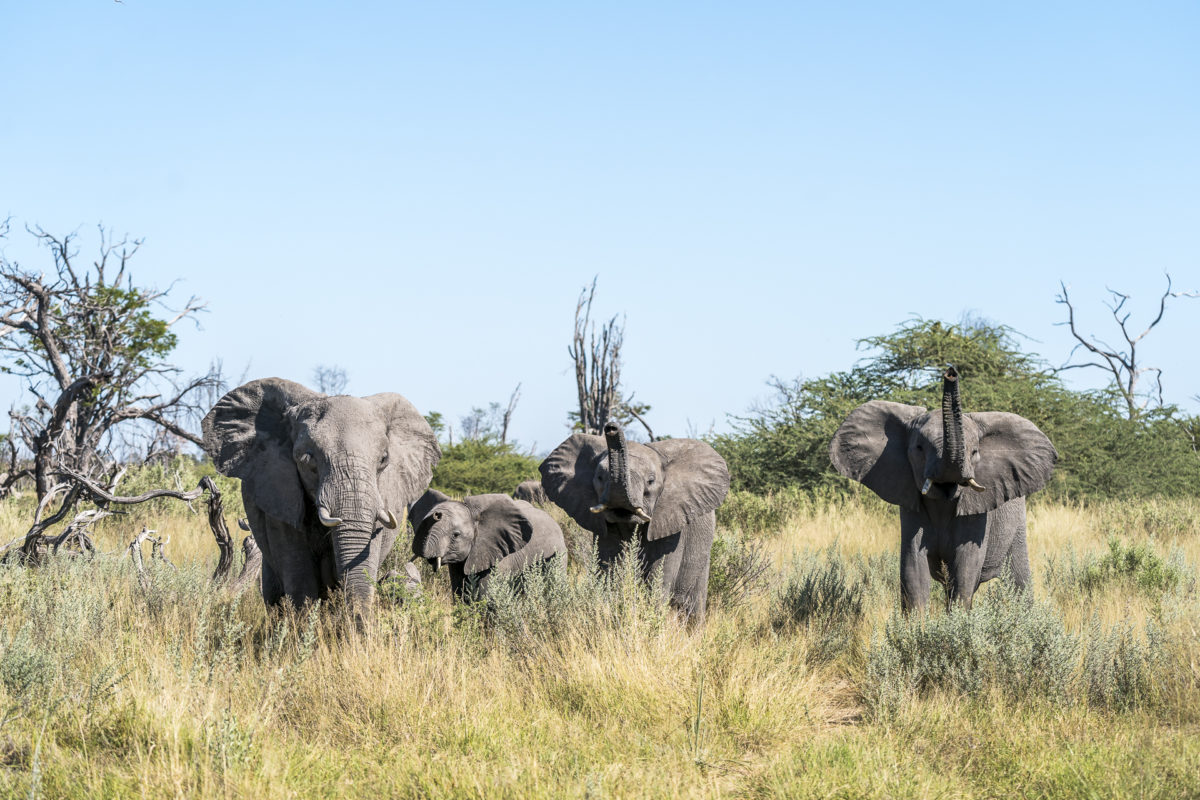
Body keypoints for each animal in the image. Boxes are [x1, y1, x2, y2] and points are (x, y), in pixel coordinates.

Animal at [408, 489, 566, 599]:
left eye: (456, 535)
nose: (437, 514)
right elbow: (459, 594)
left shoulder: (499, 555)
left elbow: (488, 596)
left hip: (559, 553)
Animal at [544, 422, 729, 623]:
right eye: (600, 477)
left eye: (651, 481)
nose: (611, 427)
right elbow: (610, 570)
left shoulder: (671, 522)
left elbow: (658, 576)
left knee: (693, 605)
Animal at [830, 367, 1056, 609]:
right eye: (919, 448)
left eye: (974, 452)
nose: (950, 373)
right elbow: (913, 568)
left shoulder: (978, 510)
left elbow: (966, 568)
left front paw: (957, 617)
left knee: (1019, 579)